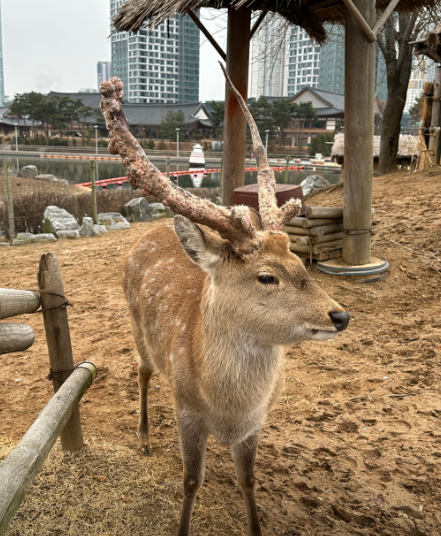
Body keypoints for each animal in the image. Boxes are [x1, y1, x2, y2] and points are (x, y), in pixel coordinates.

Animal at [100, 70, 350, 536]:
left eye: (299, 261)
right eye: (266, 276)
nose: (340, 315)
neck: (228, 406)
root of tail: (149, 232)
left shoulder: (257, 421)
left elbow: (248, 479)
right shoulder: (187, 411)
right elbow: (190, 480)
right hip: (136, 327)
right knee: (142, 371)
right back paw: (143, 438)